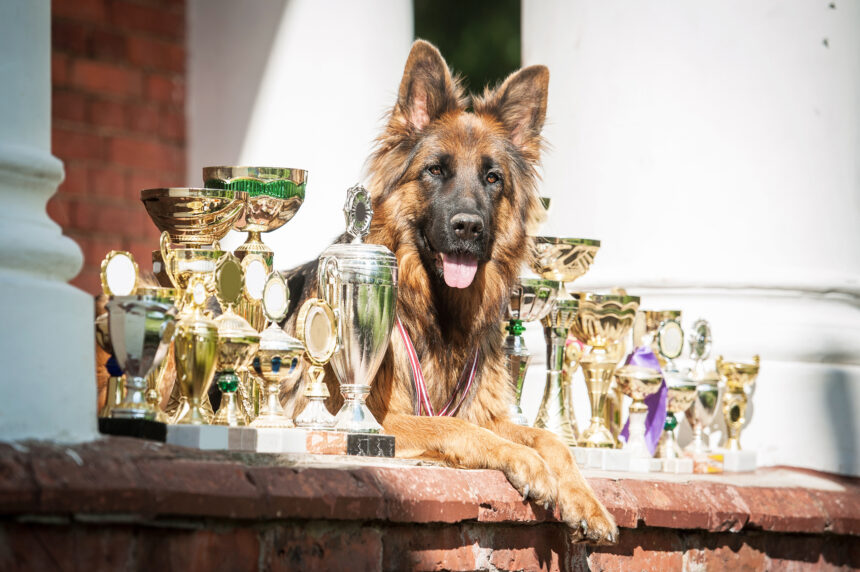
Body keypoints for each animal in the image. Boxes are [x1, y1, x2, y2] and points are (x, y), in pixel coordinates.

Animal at [284, 41, 620, 544]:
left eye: (493, 178)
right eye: (436, 170)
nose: (468, 227)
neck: (437, 314)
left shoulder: (489, 414)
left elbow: (551, 439)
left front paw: (586, 501)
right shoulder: (378, 419)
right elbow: (458, 427)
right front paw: (527, 463)